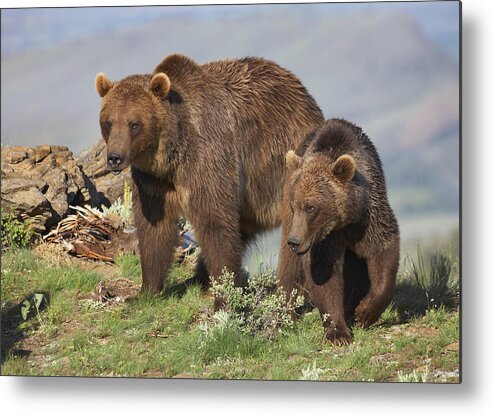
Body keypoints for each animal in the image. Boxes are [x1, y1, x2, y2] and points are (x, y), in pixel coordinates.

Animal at [94, 53, 324, 298]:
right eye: (108, 122)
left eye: (134, 124)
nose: (115, 158)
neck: (172, 156)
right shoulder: (153, 181)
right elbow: (153, 229)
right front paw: (146, 291)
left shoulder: (208, 158)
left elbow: (215, 223)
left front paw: (223, 295)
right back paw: (199, 279)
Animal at [276, 118, 400, 346]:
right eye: (294, 205)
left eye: (311, 207)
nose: (295, 241)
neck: (343, 220)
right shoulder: (323, 239)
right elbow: (323, 272)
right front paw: (338, 332)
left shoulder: (368, 217)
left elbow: (382, 249)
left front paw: (365, 312)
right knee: (289, 267)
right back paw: (286, 312)